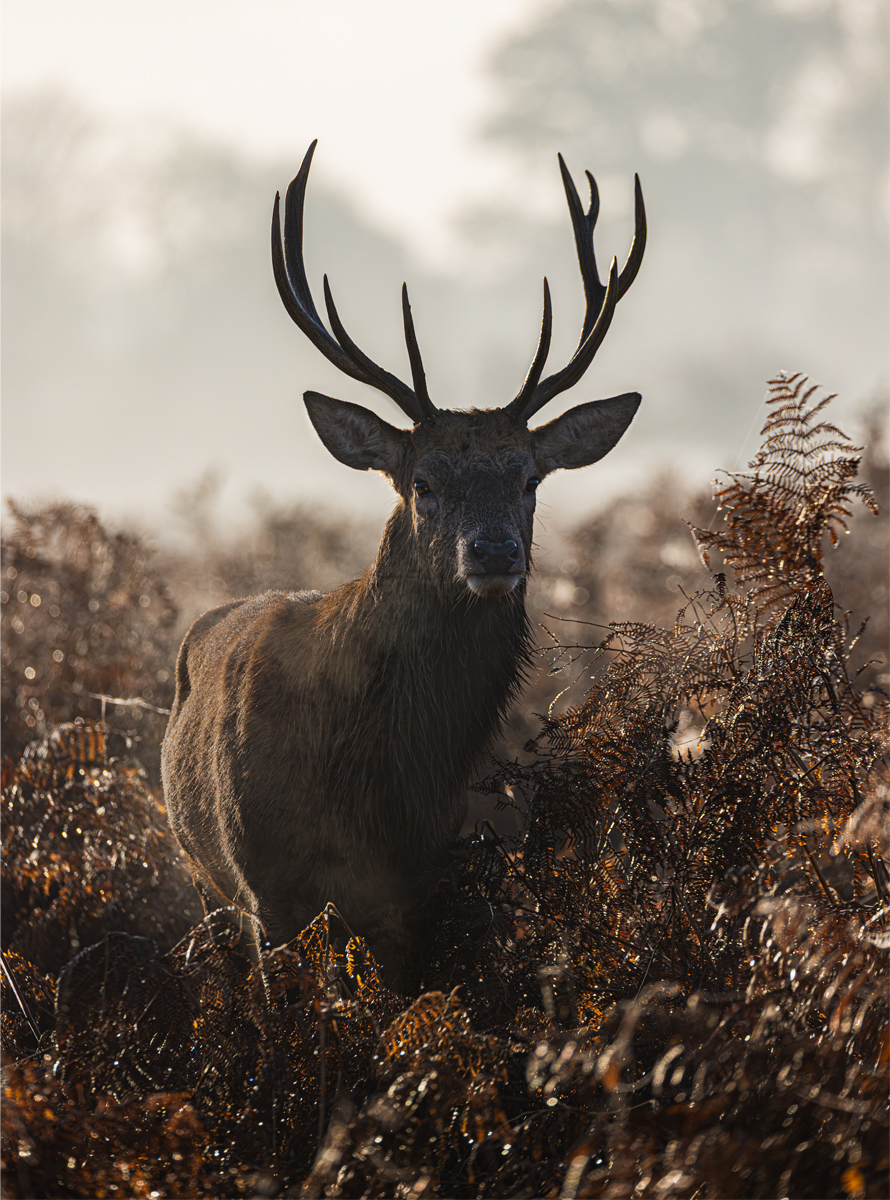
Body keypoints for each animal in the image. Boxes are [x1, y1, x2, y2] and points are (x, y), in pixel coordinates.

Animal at [161, 141, 646, 991]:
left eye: (529, 478)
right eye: (424, 482)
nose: (494, 551)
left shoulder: (420, 887)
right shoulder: (265, 889)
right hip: (203, 878)